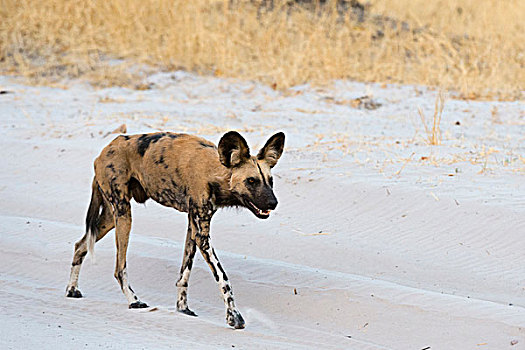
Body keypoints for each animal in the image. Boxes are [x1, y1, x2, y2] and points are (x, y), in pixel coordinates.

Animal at [67, 131, 284, 328]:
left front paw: (182, 308)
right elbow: (223, 278)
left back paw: (72, 289)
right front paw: (234, 316)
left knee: (80, 245)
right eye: (251, 181)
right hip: (123, 215)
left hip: (111, 218)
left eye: (271, 181)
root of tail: (105, 150)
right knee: (119, 268)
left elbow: (184, 273)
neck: (215, 172)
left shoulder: (194, 228)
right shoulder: (202, 235)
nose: (273, 203)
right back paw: (134, 301)